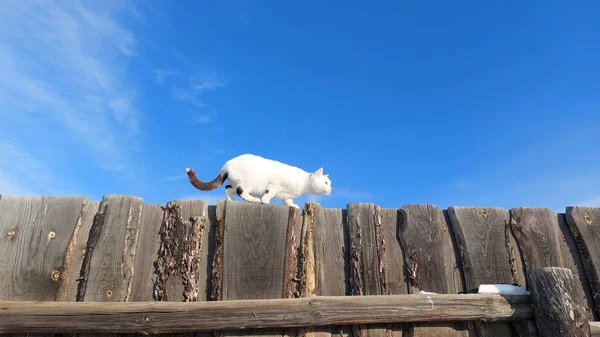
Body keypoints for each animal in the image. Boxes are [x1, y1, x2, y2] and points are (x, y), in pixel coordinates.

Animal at [184, 153, 332, 207]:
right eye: (326, 182)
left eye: (329, 184)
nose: (330, 189)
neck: (302, 184)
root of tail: (227, 165)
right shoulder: (274, 185)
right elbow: (269, 193)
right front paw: (265, 201)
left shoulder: (286, 195)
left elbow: (288, 201)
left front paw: (293, 206)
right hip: (248, 183)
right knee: (240, 191)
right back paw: (254, 200)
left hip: (234, 183)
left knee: (228, 189)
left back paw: (231, 201)